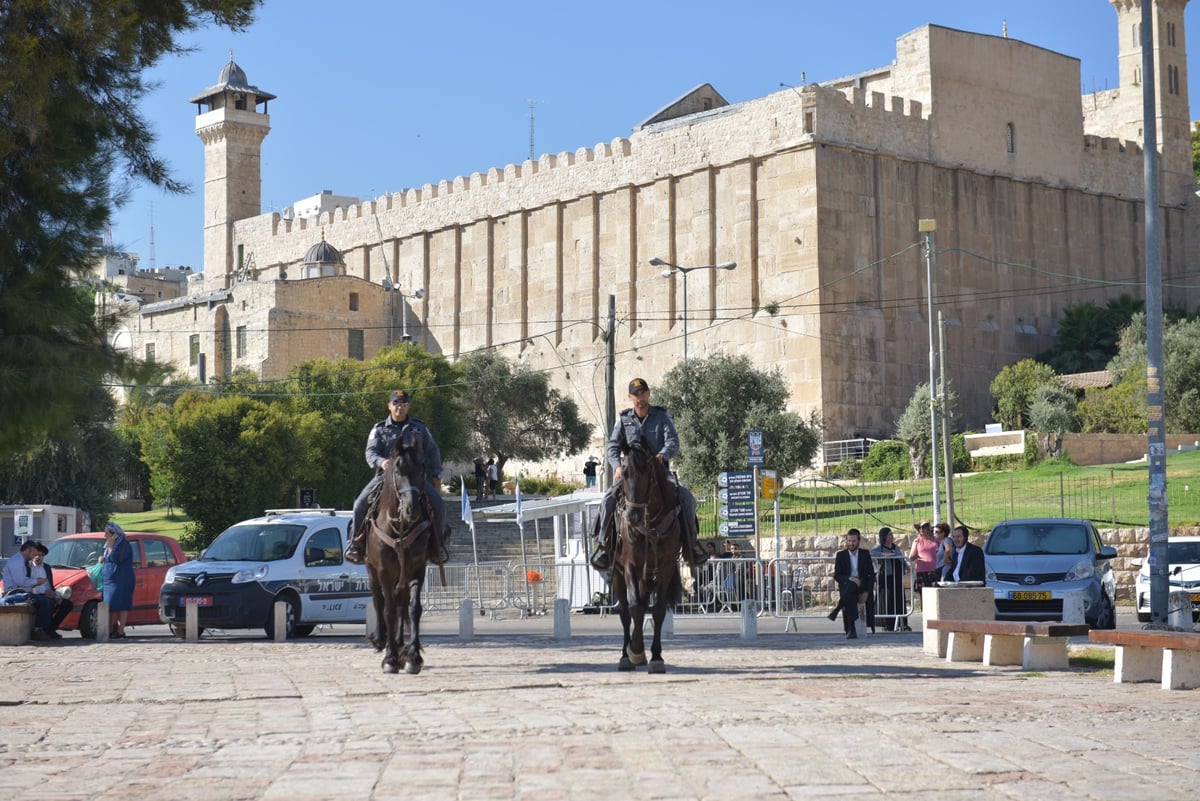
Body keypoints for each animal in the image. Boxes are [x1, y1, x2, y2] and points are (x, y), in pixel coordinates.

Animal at [364, 429, 432, 671]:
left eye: (421, 469)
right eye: (398, 469)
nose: (413, 508)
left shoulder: (417, 569)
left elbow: (414, 608)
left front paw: (413, 656)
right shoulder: (384, 571)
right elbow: (389, 610)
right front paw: (390, 657)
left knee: (402, 604)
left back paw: (402, 643)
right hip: (372, 571)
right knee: (379, 600)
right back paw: (381, 639)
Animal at [609, 434, 686, 671]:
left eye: (647, 471)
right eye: (624, 472)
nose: (633, 517)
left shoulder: (666, 568)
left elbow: (658, 611)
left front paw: (656, 656)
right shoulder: (630, 566)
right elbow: (634, 608)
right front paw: (634, 650)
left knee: (643, 607)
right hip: (617, 576)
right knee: (626, 613)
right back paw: (626, 655)